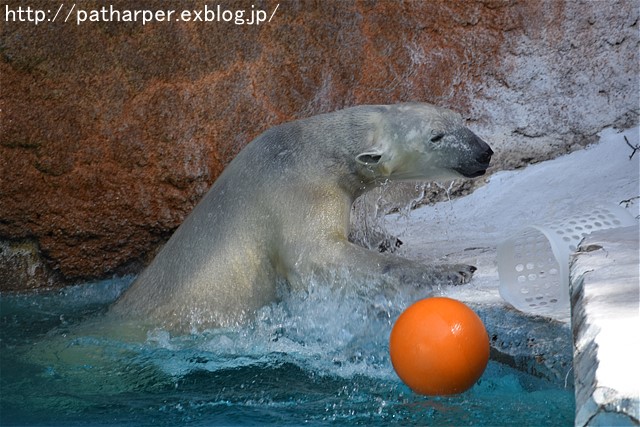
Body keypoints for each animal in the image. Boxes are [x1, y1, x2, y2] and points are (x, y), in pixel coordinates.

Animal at [110, 103, 492, 332]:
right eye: (435, 137)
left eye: (459, 120)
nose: (483, 153)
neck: (310, 149)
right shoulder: (298, 190)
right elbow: (316, 254)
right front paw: (449, 269)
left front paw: (385, 238)